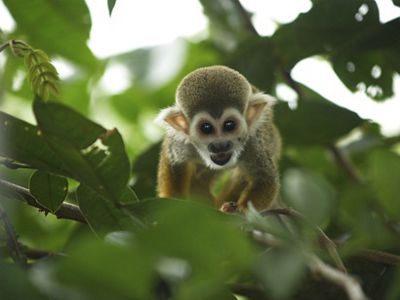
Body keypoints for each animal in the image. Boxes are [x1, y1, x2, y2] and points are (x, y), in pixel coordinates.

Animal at [155, 65, 280, 211]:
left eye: (229, 125)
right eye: (206, 128)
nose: (220, 145)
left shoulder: (251, 143)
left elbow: (265, 178)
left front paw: (241, 210)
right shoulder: (181, 143)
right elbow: (174, 162)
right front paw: (175, 206)